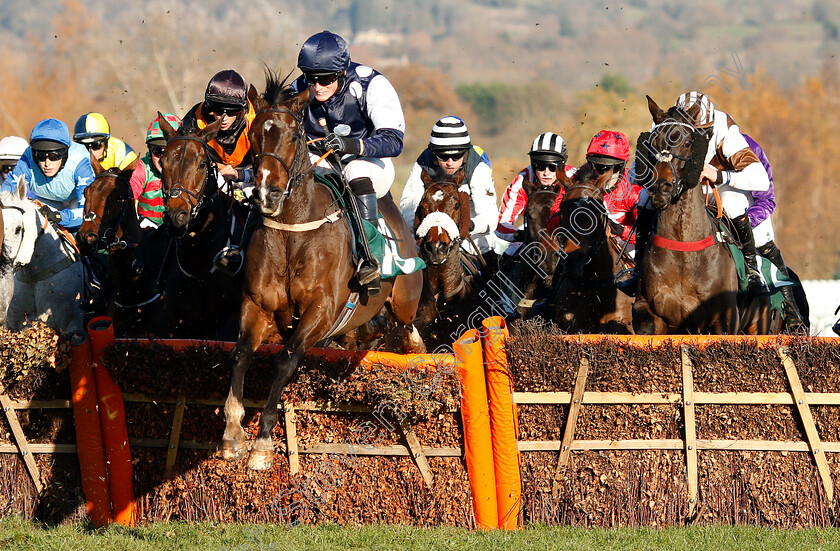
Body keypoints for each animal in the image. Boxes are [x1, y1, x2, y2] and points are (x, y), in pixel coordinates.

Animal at [221, 72, 424, 470]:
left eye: (293, 135)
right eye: (253, 136)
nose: (266, 193)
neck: (292, 230)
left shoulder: (321, 311)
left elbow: (286, 359)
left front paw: (262, 443)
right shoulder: (257, 305)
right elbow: (240, 354)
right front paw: (233, 433)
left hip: (405, 299)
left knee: (409, 326)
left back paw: (416, 350)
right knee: (374, 330)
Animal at [632, 96, 776, 334]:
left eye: (688, 142)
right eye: (652, 142)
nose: (660, 187)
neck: (684, 249)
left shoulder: (723, 320)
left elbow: (756, 171)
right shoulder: (651, 310)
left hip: (759, 323)